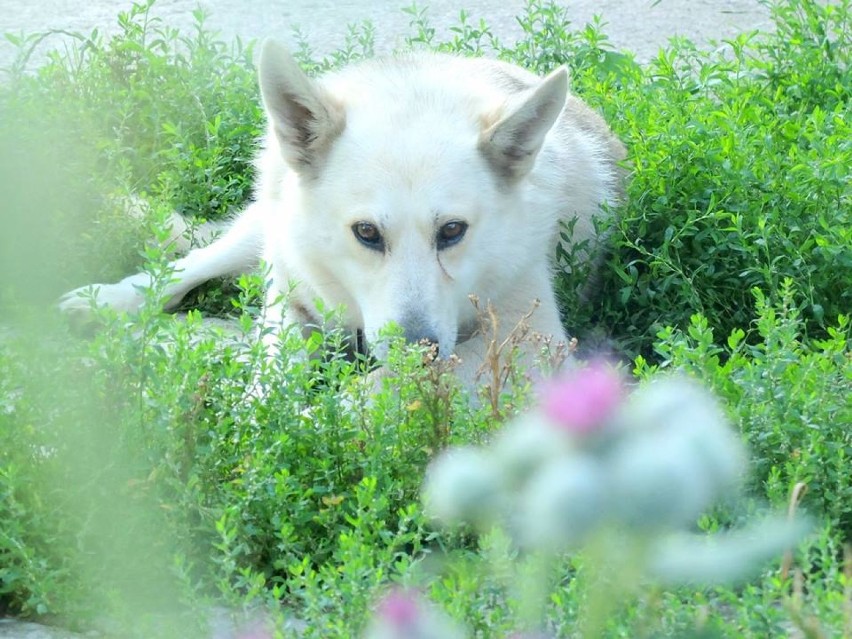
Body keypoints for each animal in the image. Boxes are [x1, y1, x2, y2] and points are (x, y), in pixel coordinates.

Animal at [58, 42, 620, 388]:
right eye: (366, 232)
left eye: (452, 231)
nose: (419, 352)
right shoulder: (288, 299)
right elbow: (273, 373)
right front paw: (265, 425)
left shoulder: (531, 345)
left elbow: (368, 395)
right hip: (270, 226)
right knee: (198, 262)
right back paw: (110, 302)